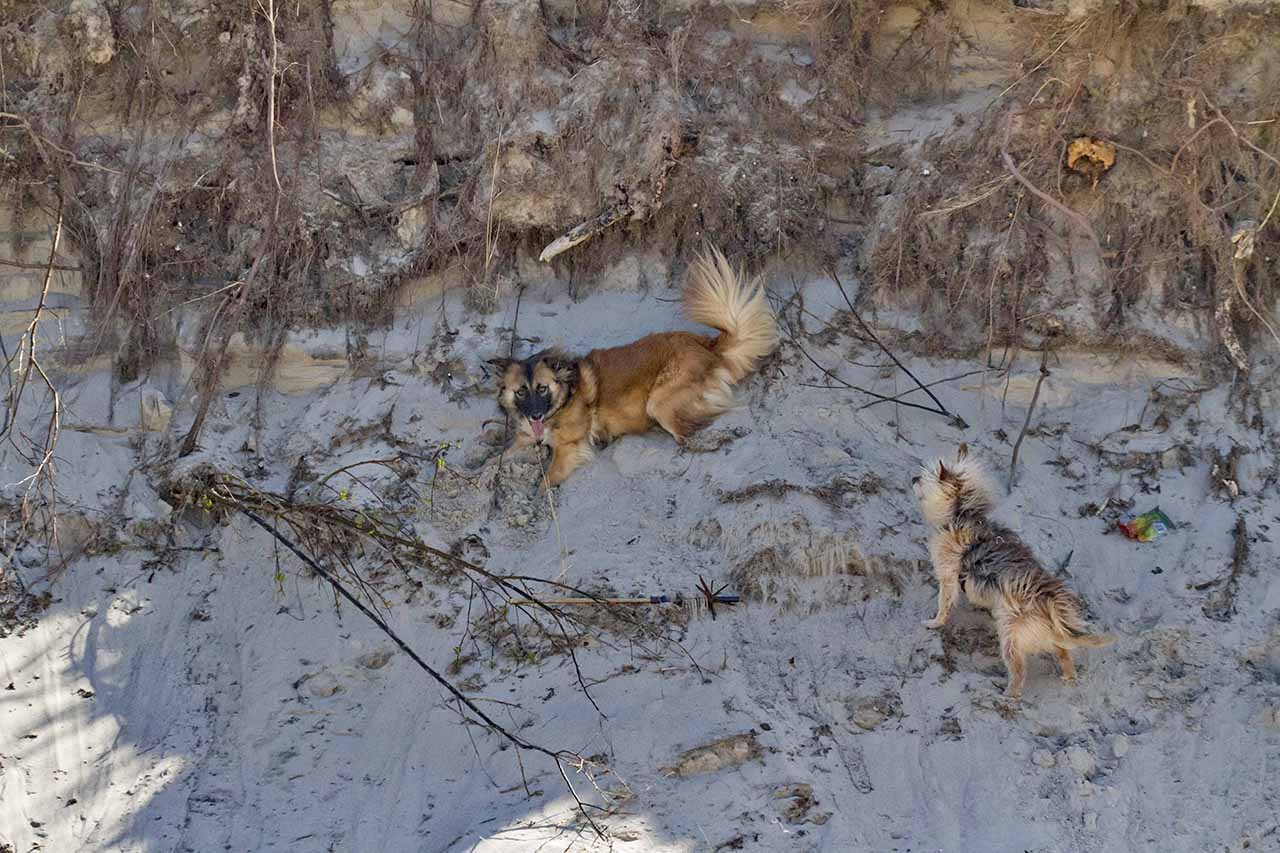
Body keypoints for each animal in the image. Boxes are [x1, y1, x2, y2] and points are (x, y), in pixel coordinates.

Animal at [492, 246, 778, 486]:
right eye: (521, 391)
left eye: (542, 388)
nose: (535, 415)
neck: (564, 397)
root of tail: (707, 345)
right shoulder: (526, 436)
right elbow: (499, 456)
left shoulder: (569, 447)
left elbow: (546, 482)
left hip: (659, 403)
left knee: (692, 434)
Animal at [912, 445, 1113, 698]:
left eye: (922, 479)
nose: (912, 478)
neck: (963, 514)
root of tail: (1049, 600)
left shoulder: (948, 577)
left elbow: (944, 605)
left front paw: (935, 623)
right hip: (1044, 634)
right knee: (1063, 652)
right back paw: (1068, 675)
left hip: (1010, 635)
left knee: (1018, 672)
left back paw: (1007, 695)